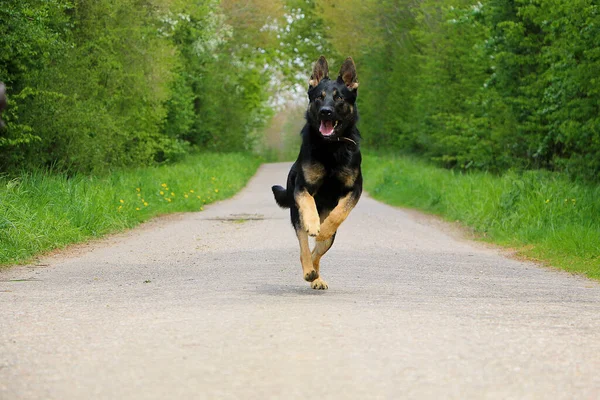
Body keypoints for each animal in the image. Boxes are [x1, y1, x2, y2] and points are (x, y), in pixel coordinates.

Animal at [270, 54, 360, 290]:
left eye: (339, 98)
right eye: (319, 97)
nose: (325, 111)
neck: (331, 147)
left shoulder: (354, 190)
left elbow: (339, 213)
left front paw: (325, 227)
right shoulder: (302, 187)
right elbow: (308, 202)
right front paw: (314, 223)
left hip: (331, 238)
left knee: (317, 251)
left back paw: (316, 275)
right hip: (296, 217)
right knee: (304, 249)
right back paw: (309, 270)